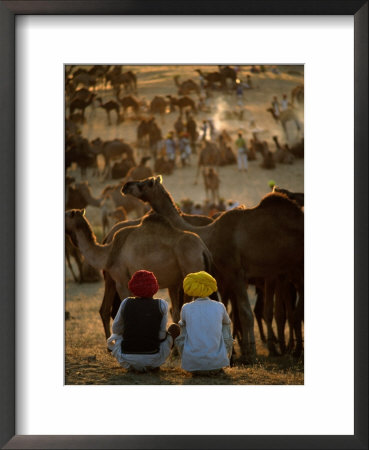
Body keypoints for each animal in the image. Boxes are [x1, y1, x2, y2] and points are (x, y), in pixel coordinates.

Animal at [122, 177, 304, 362]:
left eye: (144, 183)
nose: (126, 185)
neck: (210, 233)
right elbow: (237, 312)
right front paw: (244, 352)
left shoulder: (236, 271)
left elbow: (245, 313)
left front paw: (251, 354)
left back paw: (292, 351)